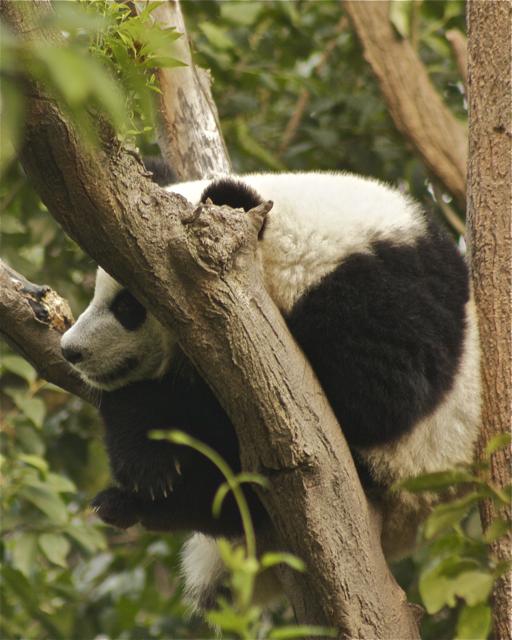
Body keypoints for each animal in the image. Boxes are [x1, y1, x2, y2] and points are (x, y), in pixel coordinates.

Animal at [59, 170, 480, 608]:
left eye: (128, 308)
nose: (71, 351)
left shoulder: (373, 289)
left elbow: (380, 396)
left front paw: (151, 447)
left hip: (404, 470)